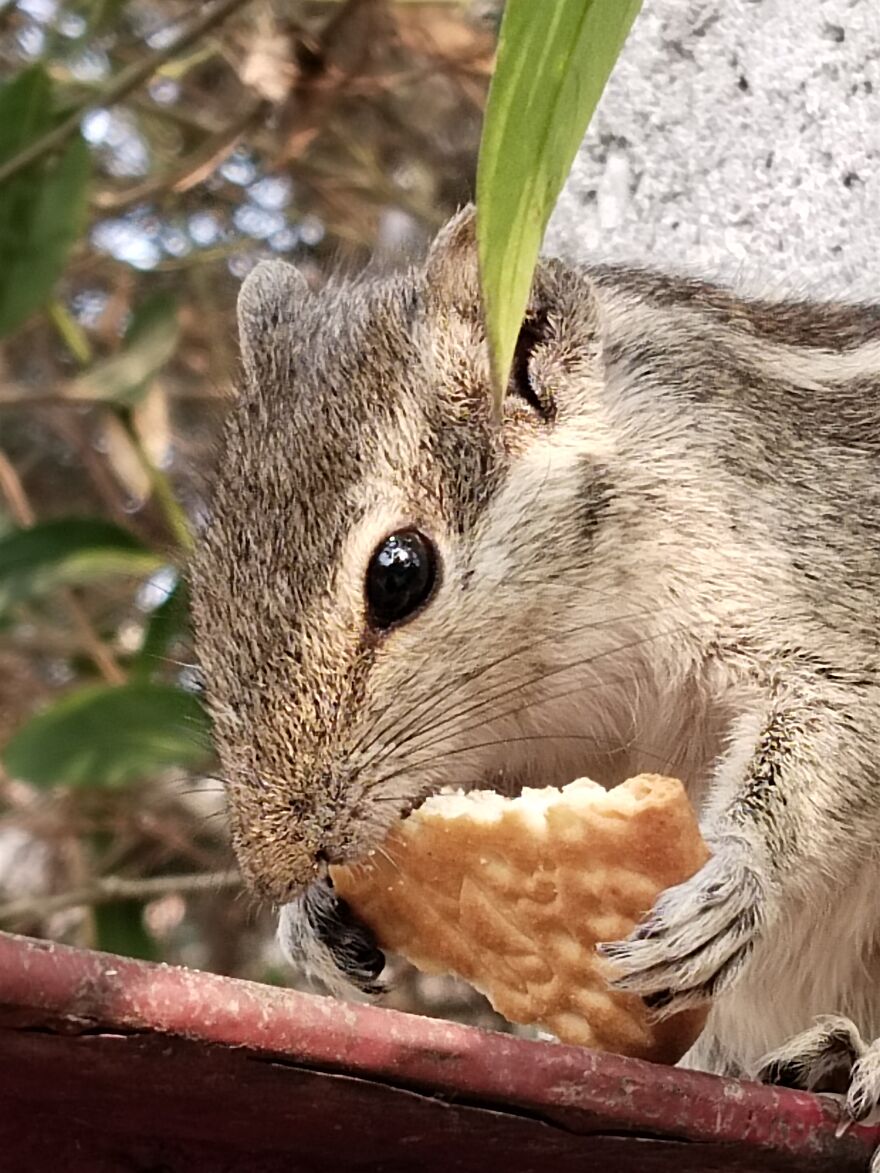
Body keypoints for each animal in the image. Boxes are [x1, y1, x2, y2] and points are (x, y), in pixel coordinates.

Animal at [190, 206, 880, 1134]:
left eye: (399, 572)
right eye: (205, 583)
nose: (275, 869)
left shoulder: (821, 589)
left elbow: (833, 727)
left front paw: (733, 880)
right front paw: (311, 922)